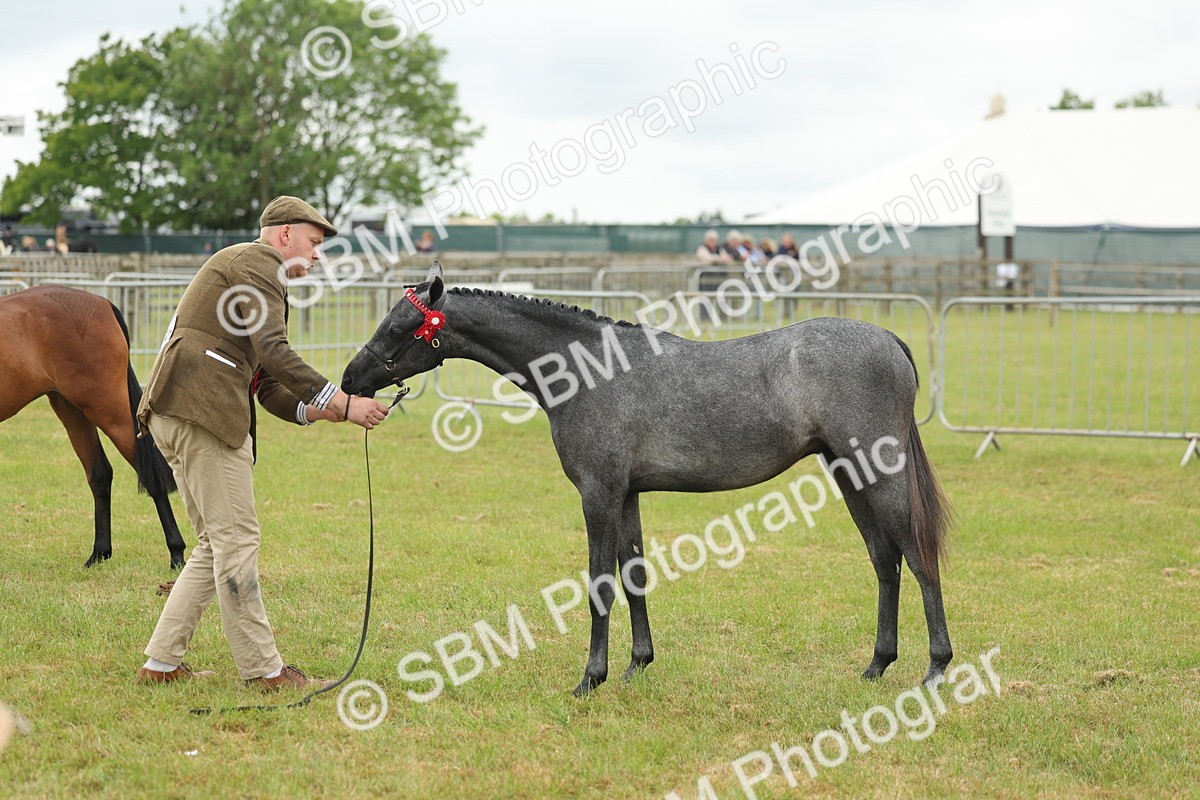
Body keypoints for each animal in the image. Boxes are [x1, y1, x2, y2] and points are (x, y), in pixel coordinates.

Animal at [0, 285, 186, 570]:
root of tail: (102, 304)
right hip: (72, 410)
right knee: (100, 473)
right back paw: (99, 554)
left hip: (108, 409)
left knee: (151, 476)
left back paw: (177, 554)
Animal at [340, 263, 953, 696]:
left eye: (399, 325)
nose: (350, 379)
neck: (589, 371)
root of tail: (890, 340)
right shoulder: (628, 495)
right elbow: (634, 574)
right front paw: (637, 665)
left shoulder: (598, 494)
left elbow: (600, 583)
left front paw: (590, 678)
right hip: (849, 475)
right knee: (885, 559)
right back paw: (876, 665)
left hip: (879, 473)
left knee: (917, 555)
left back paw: (935, 668)